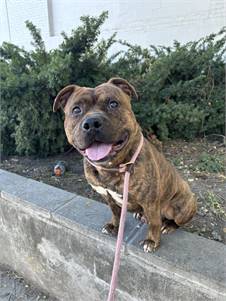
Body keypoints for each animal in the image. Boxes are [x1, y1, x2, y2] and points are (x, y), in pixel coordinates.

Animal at [53, 77, 197, 251]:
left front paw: (152, 241)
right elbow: (115, 212)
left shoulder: (151, 203)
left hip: (180, 208)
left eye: (113, 104)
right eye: (76, 110)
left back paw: (169, 225)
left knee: (176, 220)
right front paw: (114, 226)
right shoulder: (107, 196)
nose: (92, 122)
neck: (111, 167)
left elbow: (155, 223)